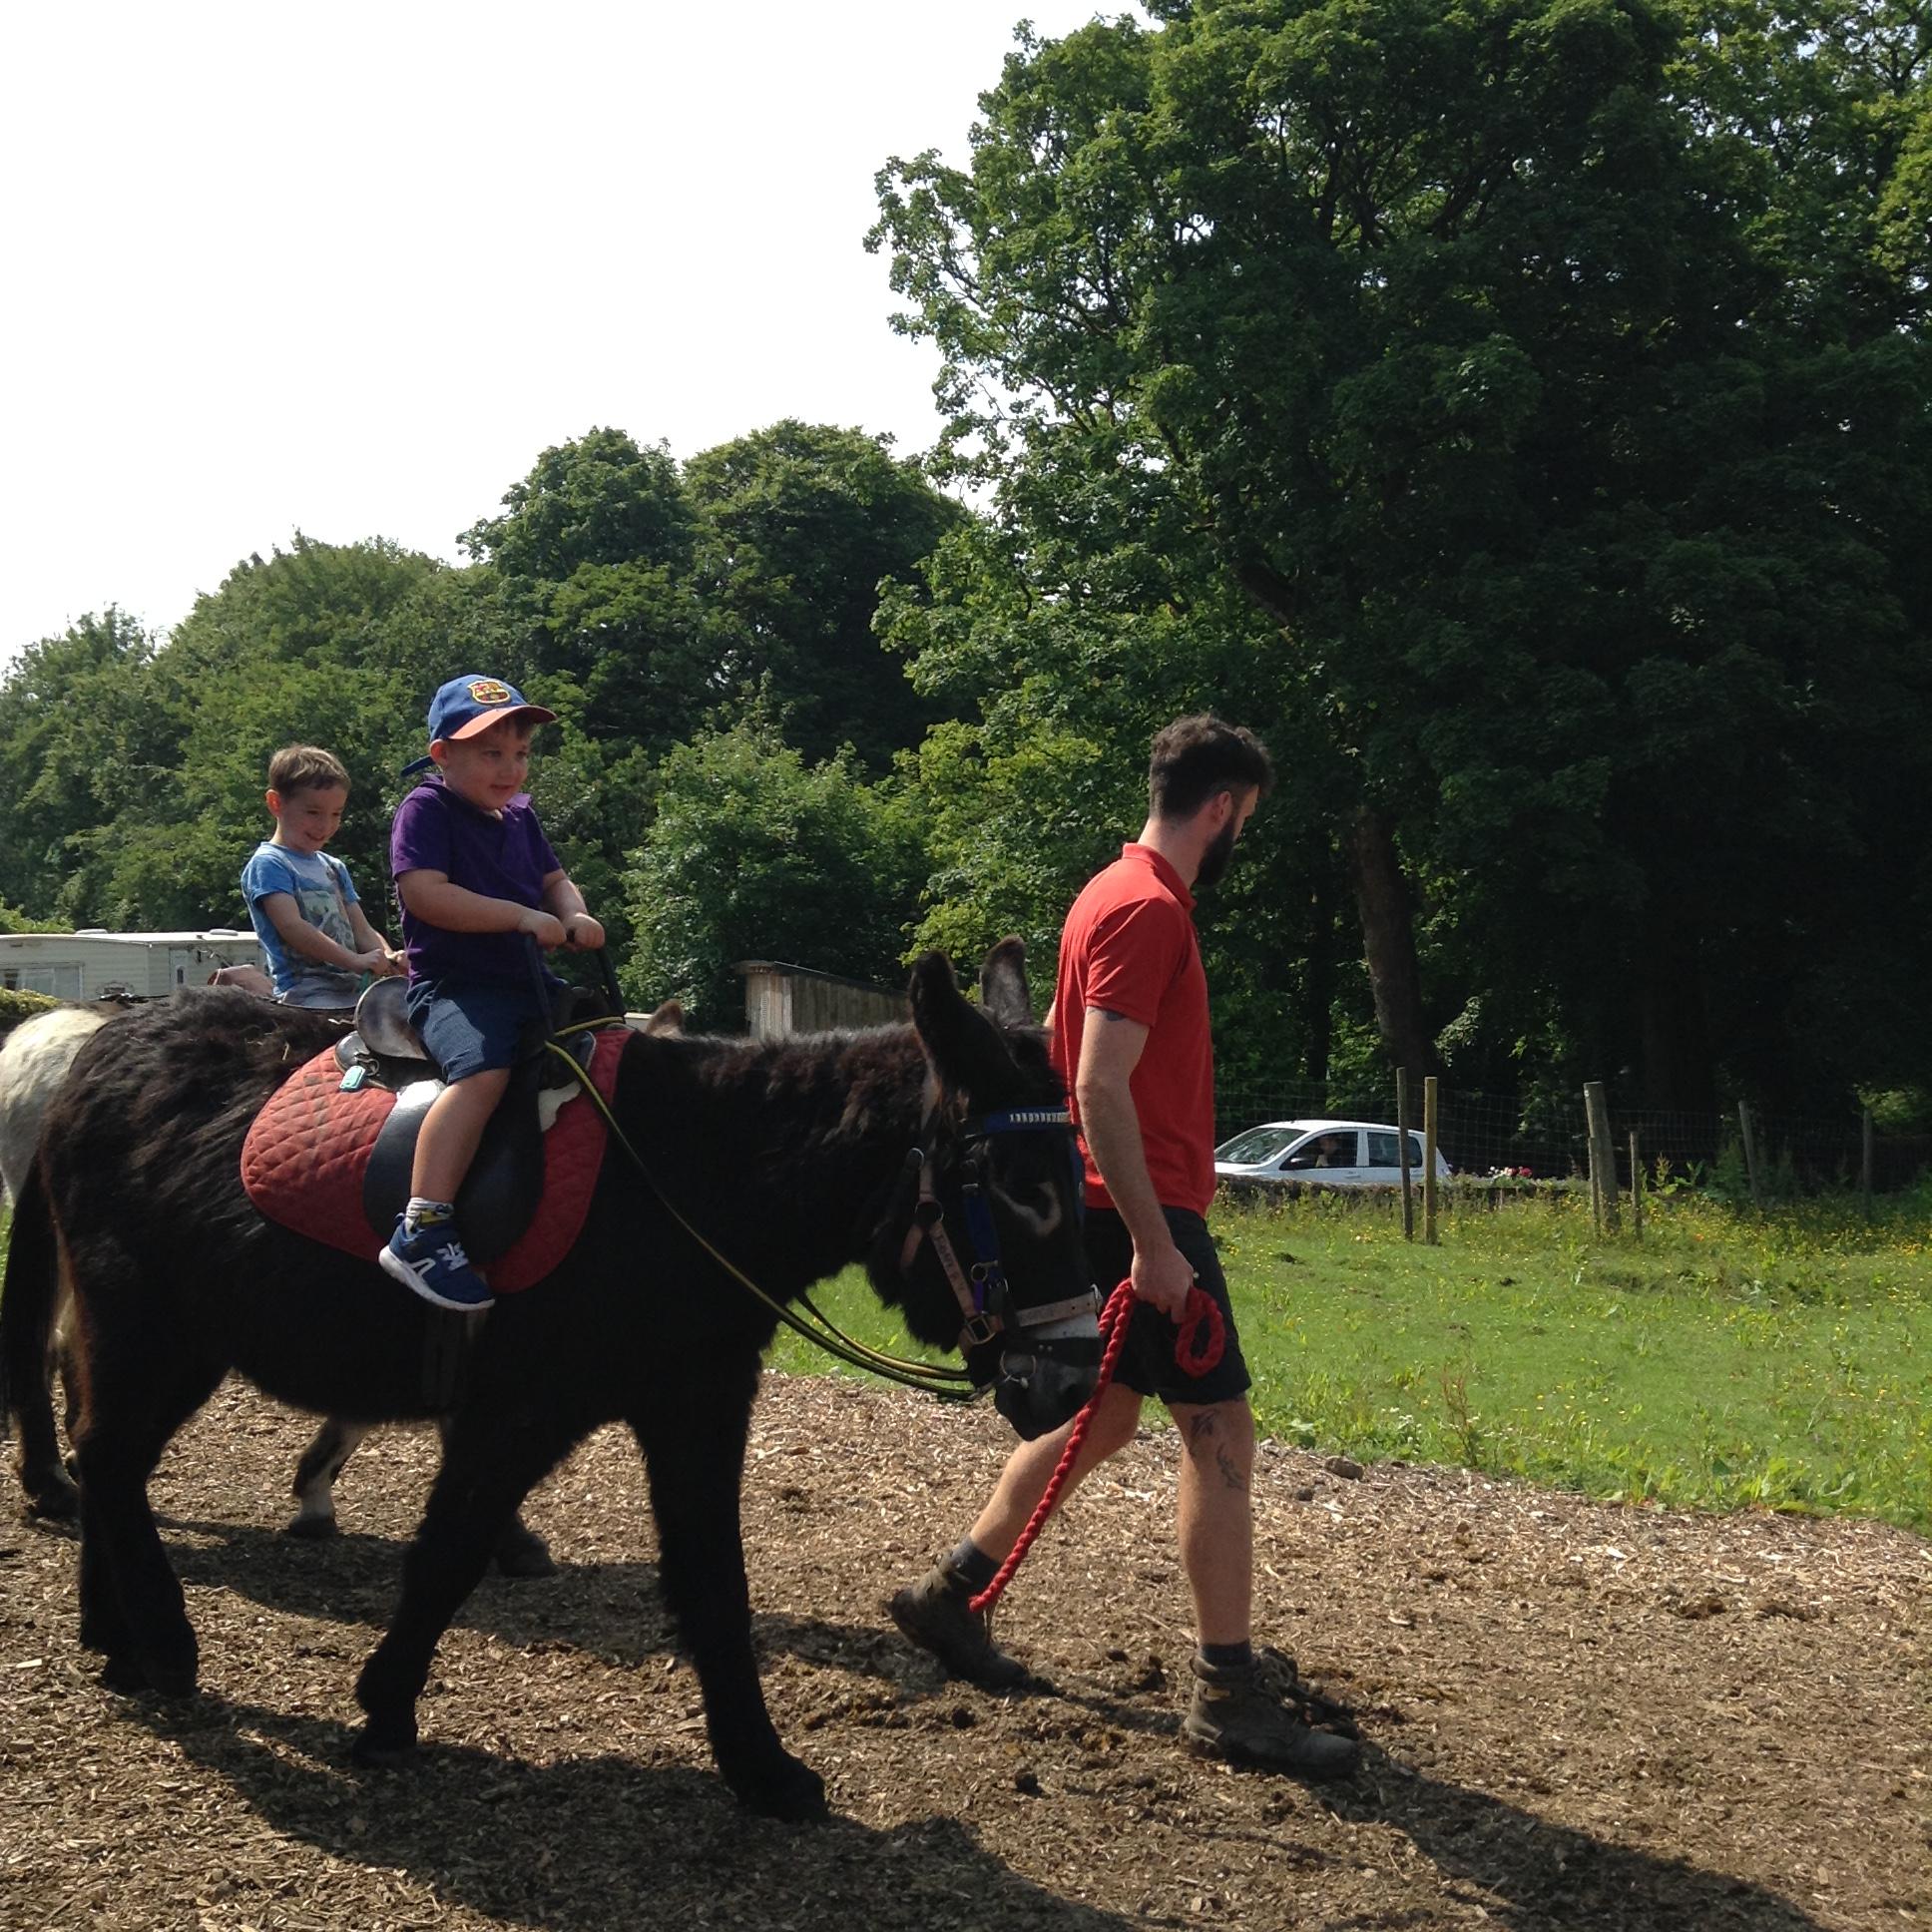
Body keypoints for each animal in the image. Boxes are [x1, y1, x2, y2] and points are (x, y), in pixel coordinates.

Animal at [0, 942, 1096, 1820]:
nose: (1071, 1385)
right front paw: (385, 1707)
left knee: (110, 1457)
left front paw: (762, 1769)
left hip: (175, 1337)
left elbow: (715, 1582)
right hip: (153, 1329)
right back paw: (162, 1642)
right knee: (107, 1454)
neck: (690, 1178)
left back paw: (116, 1636)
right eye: (1022, 1188)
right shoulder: (516, 1412)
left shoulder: (697, 1403)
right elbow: (448, 1554)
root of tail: (92, 1055)